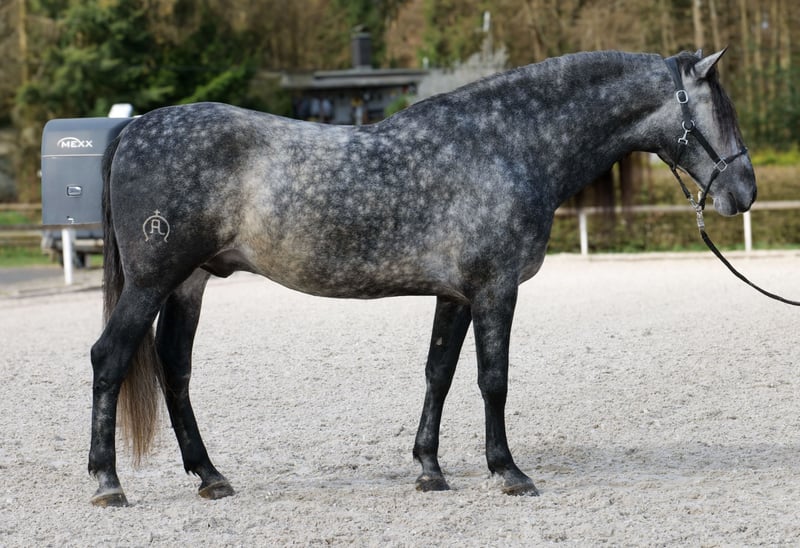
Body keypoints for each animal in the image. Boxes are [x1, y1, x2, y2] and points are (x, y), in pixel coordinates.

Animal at [88, 49, 756, 506]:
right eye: (717, 111)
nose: (744, 193)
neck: (507, 145)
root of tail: (136, 128)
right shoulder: (494, 290)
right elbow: (492, 380)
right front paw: (508, 471)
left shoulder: (455, 295)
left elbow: (439, 373)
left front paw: (429, 469)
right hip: (153, 282)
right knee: (110, 358)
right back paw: (107, 483)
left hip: (190, 283)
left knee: (175, 370)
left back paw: (210, 476)